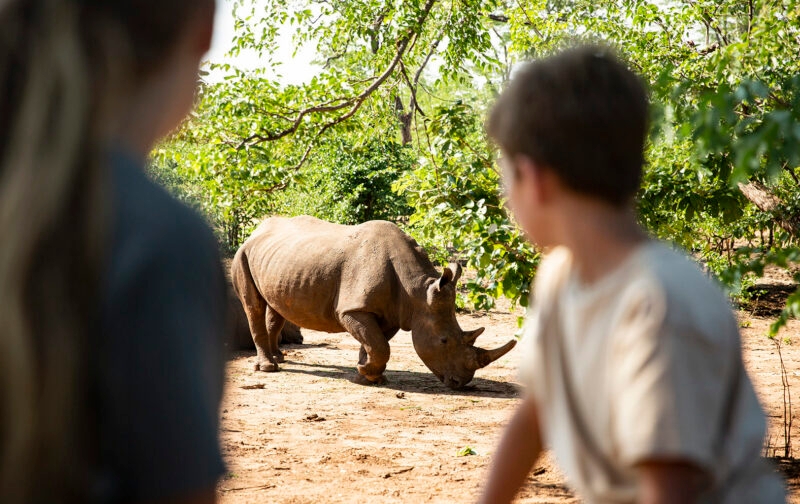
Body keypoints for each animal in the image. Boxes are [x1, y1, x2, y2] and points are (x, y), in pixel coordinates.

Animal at [230, 215, 516, 389]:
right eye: (444, 341)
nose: (461, 382)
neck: (417, 293)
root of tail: (256, 232)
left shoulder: (392, 312)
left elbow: (375, 343)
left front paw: (367, 374)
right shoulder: (353, 309)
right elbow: (379, 345)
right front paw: (367, 372)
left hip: (278, 259)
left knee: (276, 306)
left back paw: (280, 358)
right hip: (242, 254)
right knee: (254, 307)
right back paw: (268, 368)